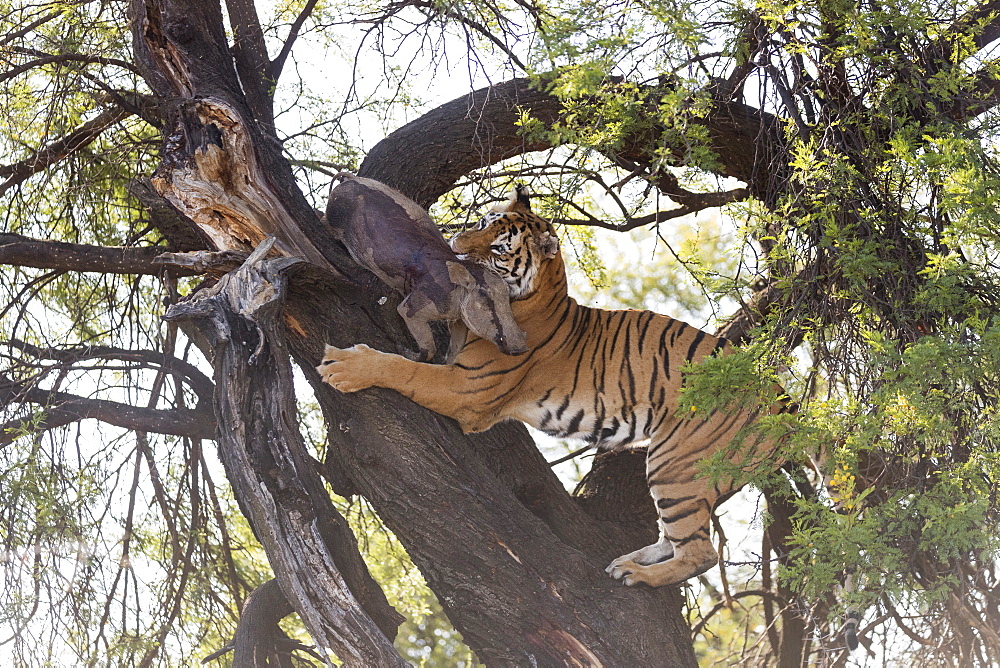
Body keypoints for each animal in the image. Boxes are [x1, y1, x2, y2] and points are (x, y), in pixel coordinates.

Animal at [318, 185, 788, 588]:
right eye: (483, 220)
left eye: (497, 248)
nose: (454, 244)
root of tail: (778, 400)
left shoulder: (468, 387)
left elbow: (405, 371)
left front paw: (345, 365)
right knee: (676, 538)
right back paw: (630, 559)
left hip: (676, 464)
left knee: (700, 553)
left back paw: (637, 575)